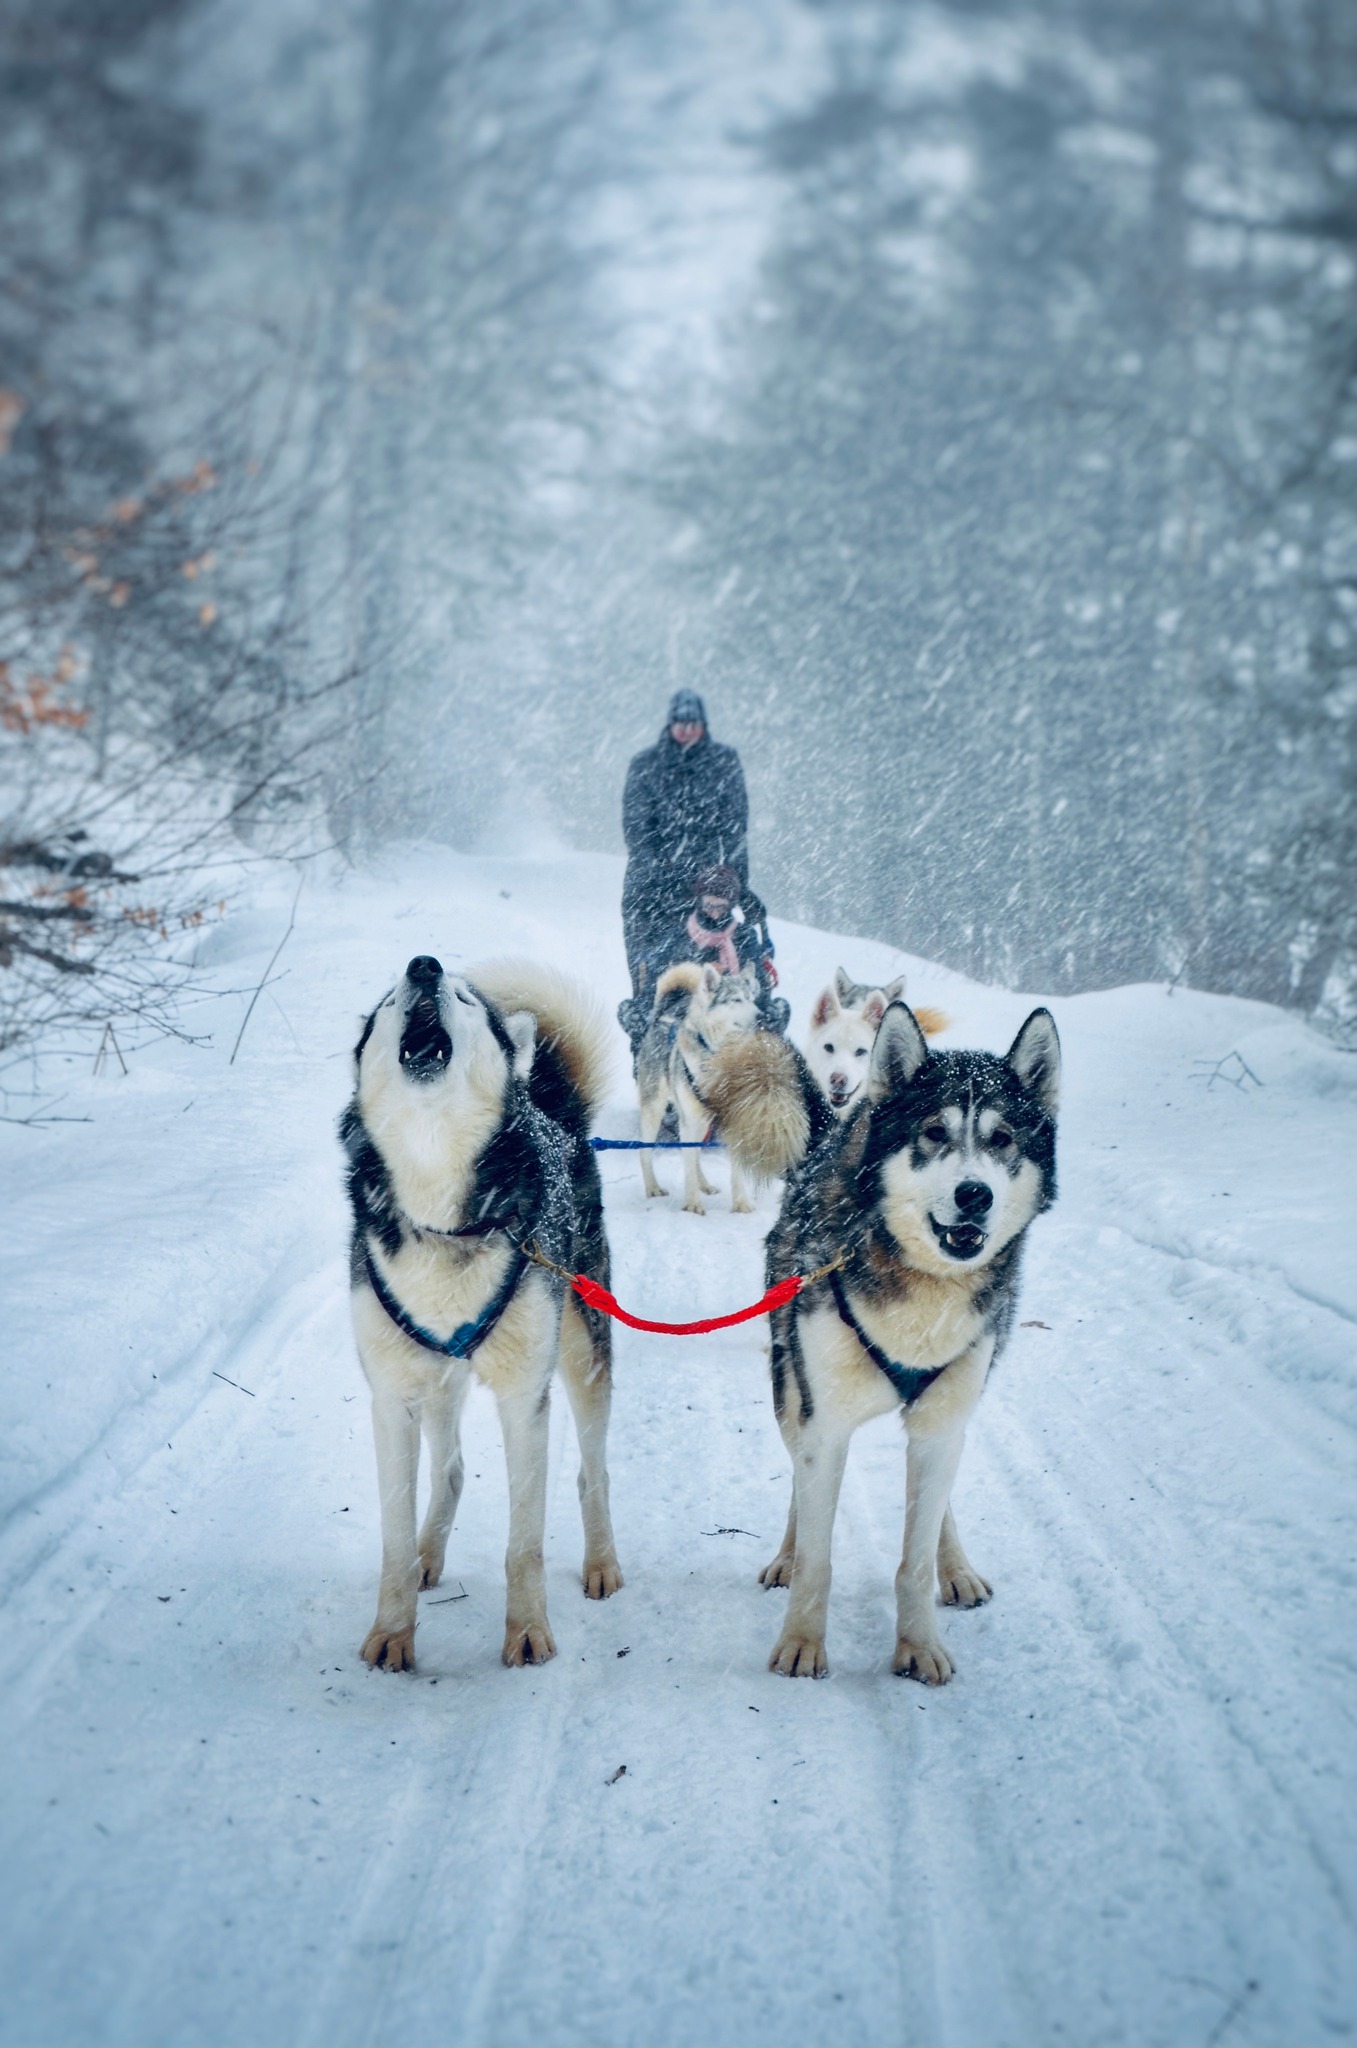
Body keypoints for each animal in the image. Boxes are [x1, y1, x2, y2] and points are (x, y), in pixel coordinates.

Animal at [339, 950, 622, 1671]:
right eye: (388, 1002)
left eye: (467, 1001)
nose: (424, 965)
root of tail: (559, 1120)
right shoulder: (392, 1398)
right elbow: (392, 1534)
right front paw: (393, 1631)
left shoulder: (525, 1399)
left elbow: (525, 1543)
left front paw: (526, 1633)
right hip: (439, 1379)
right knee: (451, 1471)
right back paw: (428, 1554)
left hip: (582, 1354)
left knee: (593, 1472)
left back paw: (602, 1562)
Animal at [638, 958, 765, 1212]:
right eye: (736, 999)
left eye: (752, 998)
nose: (761, 1015)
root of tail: (662, 1018)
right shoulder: (690, 1119)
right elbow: (687, 1167)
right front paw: (692, 1206)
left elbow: (736, 1174)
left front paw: (741, 1205)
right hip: (655, 1112)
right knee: (646, 1152)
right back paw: (653, 1187)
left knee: (695, 1155)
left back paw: (704, 1184)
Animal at [712, 999, 1064, 1687]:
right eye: (932, 1133)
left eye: (1003, 1140)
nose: (974, 1194)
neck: (923, 1289)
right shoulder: (822, 1422)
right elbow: (818, 1551)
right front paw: (802, 1643)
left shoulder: (939, 1425)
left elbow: (916, 1558)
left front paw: (919, 1643)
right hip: (790, 1388)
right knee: (799, 1483)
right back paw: (786, 1555)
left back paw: (957, 1568)